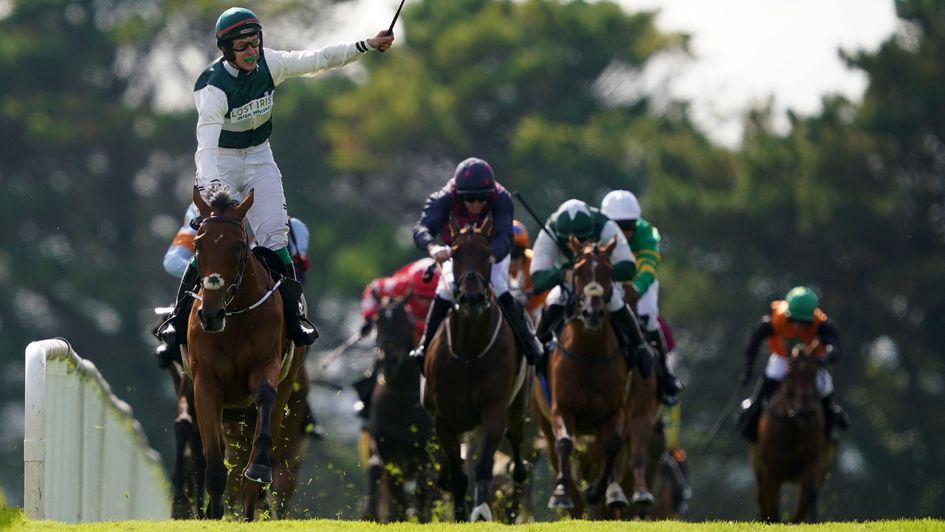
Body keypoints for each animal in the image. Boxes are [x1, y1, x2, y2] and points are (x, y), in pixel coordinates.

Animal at [184, 187, 302, 520]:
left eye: (238, 247)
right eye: (198, 245)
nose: (211, 315)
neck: (234, 316)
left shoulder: (267, 366)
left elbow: (264, 395)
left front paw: (259, 468)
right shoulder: (204, 385)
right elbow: (214, 464)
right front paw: (213, 512)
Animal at [364, 296, 436, 524]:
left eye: (406, 321)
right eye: (378, 322)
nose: (388, 359)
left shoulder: (426, 451)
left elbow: (423, 488)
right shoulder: (386, 449)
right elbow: (395, 490)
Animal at [420, 214, 532, 520]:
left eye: (486, 254)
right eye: (455, 254)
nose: (472, 298)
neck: (469, 352)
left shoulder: (494, 409)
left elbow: (483, 466)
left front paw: (481, 511)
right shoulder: (443, 418)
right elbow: (458, 476)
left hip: (518, 404)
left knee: (516, 439)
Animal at [532, 238, 636, 520]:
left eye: (608, 271)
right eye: (578, 272)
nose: (592, 313)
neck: (589, 355)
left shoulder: (615, 411)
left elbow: (613, 443)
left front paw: (600, 491)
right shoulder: (561, 408)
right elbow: (564, 443)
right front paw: (562, 494)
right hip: (543, 419)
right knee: (556, 451)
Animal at [748, 342, 828, 520]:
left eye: (815, 369)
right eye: (790, 369)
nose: (806, 410)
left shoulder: (813, 460)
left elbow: (809, 495)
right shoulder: (771, 467)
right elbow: (772, 501)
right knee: (764, 499)